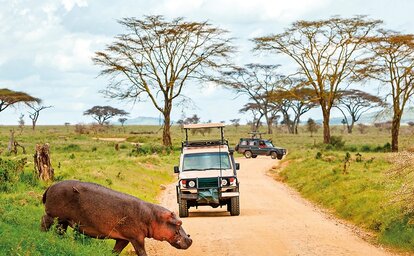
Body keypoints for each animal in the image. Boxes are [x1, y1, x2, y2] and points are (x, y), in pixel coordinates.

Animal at [40, 180, 192, 256]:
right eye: (179, 223)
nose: (190, 239)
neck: (152, 216)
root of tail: (50, 186)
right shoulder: (137, 238)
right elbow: (141, 251)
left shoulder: (123, 239)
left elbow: (116, 251)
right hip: (53, 215)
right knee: (44, 221)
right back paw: (42, 235)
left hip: (63, 220)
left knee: (60, 230)